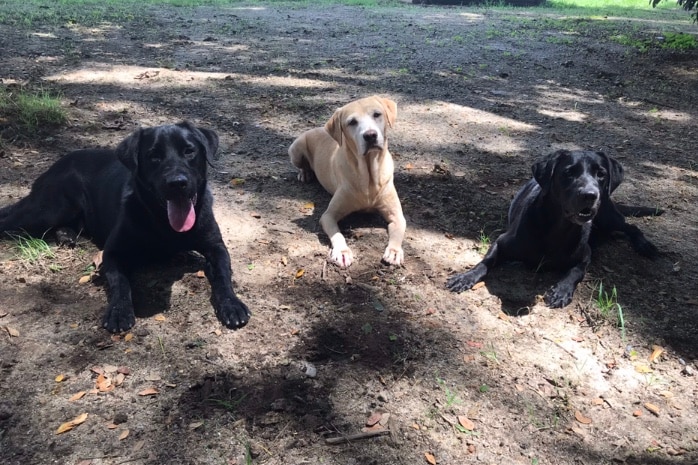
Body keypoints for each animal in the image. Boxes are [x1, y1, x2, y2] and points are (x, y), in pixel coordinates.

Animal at [0, 119, 250, 330]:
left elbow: (223, 275)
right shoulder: (111, 253)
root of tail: (55, 165)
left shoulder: (216, 246)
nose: (177, 183)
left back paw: (65, 235)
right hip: (48, 209)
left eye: (189, 151)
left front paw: (232, 304)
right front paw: (119, 312)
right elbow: (120, 282)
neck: (164, 223)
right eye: (154, 156)